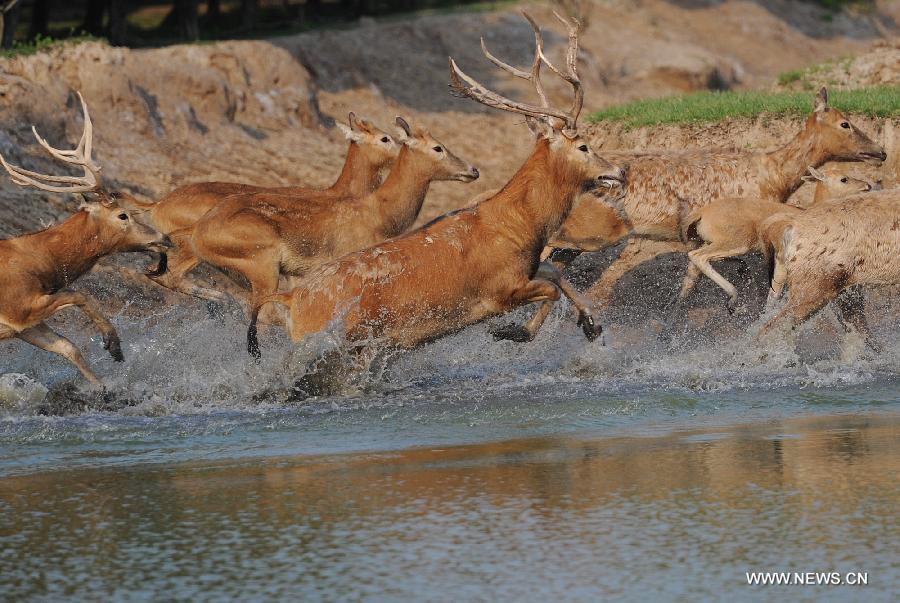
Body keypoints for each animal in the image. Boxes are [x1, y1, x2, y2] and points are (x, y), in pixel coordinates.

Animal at [0, 94, 171, 386]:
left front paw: (102, 387)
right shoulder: (19, 307)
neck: (43, 262)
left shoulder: (24, 325)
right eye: (123, 215)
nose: (164, 237)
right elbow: (80, 294)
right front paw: (113, 345)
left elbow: (67, 346)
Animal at [125, 112, 400, 300]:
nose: (402, 153)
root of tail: (158, 204)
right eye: (385, 137)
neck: (340, 194)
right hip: (193, 253)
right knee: (170, 277)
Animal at [246, 11, 624, 360]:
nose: (618, 170)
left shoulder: (529, 268)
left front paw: (591, 324)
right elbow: (551, 287)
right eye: (584, 146)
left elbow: (556, 273)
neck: (523, 228)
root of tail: (292, 299)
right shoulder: (499, 289)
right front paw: (515, 332)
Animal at [680, 165, 876, 312]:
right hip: (738, 242)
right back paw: (733, 297)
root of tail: (702, 212)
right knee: (698, 257)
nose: (867, 186)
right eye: (844, 179)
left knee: (694, 266)